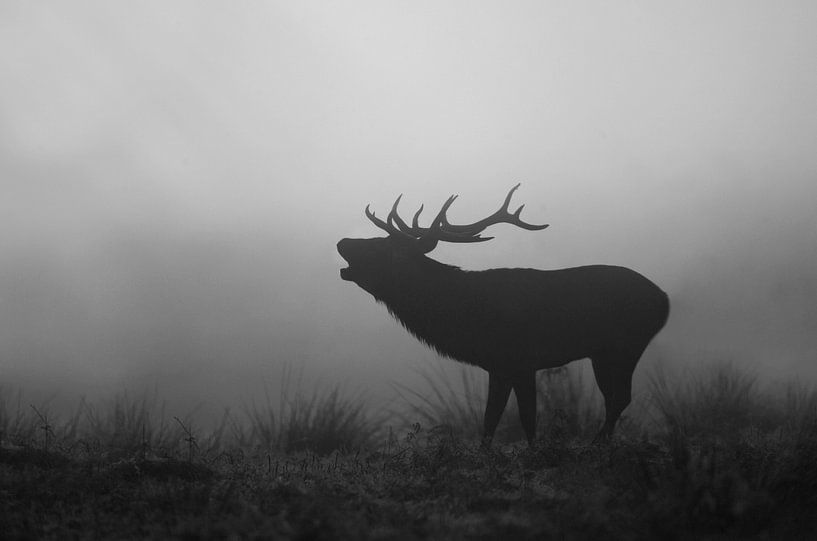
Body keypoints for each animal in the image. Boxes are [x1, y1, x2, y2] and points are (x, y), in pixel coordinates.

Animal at [337, 184, 669, 445]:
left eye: (381, 248)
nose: (342, 242)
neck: (465, 316)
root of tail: (664, 301)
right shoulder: (500, 365)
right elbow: (491, 420)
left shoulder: (520, 360)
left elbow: (524, 418)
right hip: (602, 353)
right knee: (613, 397)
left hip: (627, 344)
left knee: (620, 397)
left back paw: (596, 445)